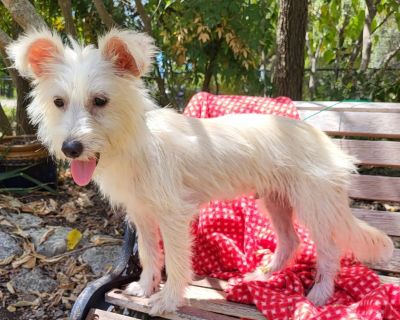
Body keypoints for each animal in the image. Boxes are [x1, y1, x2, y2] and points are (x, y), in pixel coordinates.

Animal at [7, 28, 396, 314]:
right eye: (58, 102)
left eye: (100, 101)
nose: (70, 148)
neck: (134, 143)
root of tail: (323, 139)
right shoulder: (142, 214)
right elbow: (149, 255)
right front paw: (144, 287)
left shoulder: (173, 216)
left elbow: (177, 261)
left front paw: (166, 300)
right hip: (276, 201)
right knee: (291, 241)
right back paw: (269, 273)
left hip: (313, 205)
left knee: (329, 250)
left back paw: (320, 293)